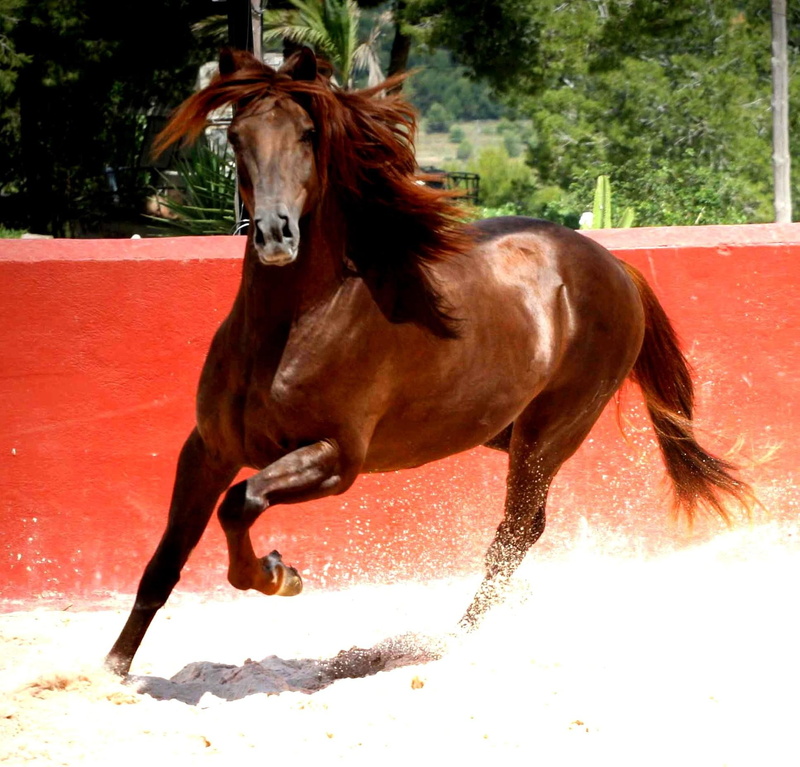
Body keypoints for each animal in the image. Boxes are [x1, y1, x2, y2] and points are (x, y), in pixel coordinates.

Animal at [106, 48, 752, 675]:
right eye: (237, 135)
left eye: (308, 134)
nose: (274, 234)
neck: (290, 329)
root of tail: (615, 266)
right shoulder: (207, 451)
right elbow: (166, 560)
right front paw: (113, 669)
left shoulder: (336, 459)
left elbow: (243, 503)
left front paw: (278, 575)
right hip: (501, 430)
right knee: (522, 528)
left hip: (551, 433)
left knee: (515, 533)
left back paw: (448, 642)